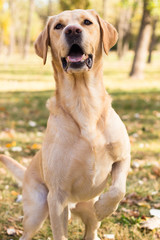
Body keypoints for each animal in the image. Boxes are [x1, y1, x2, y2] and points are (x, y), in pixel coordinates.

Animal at [0, 8, 130, 240]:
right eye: (58, 26)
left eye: (87, 22)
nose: (72, 30)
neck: (83, 102)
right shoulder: (57, 197)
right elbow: (60, 234)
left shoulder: (123, 156)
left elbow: (118, 189)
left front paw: (105, 207)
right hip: (37, 211)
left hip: (88, 213)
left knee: (91, 229)